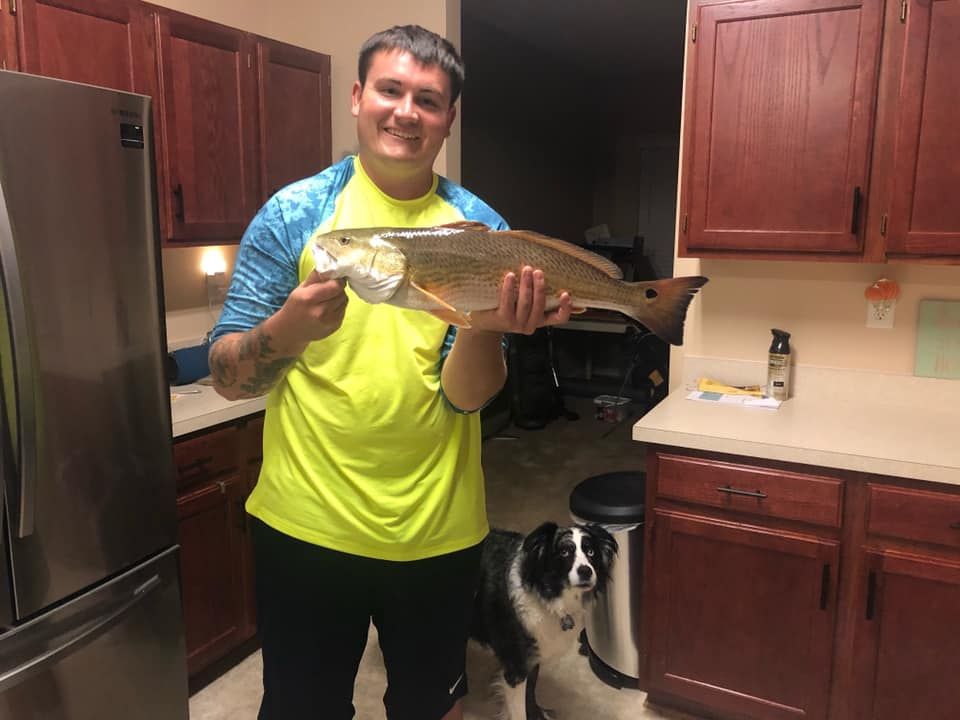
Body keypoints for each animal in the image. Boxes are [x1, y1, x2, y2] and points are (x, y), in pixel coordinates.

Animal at [470, 522, 618, 719]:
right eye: (564, 552)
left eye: (591, 552)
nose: (586, 571)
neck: (546, 594)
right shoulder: (516, 666)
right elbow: (518, 710)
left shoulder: (533, 656)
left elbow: (531, 691)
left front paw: (537, 713)